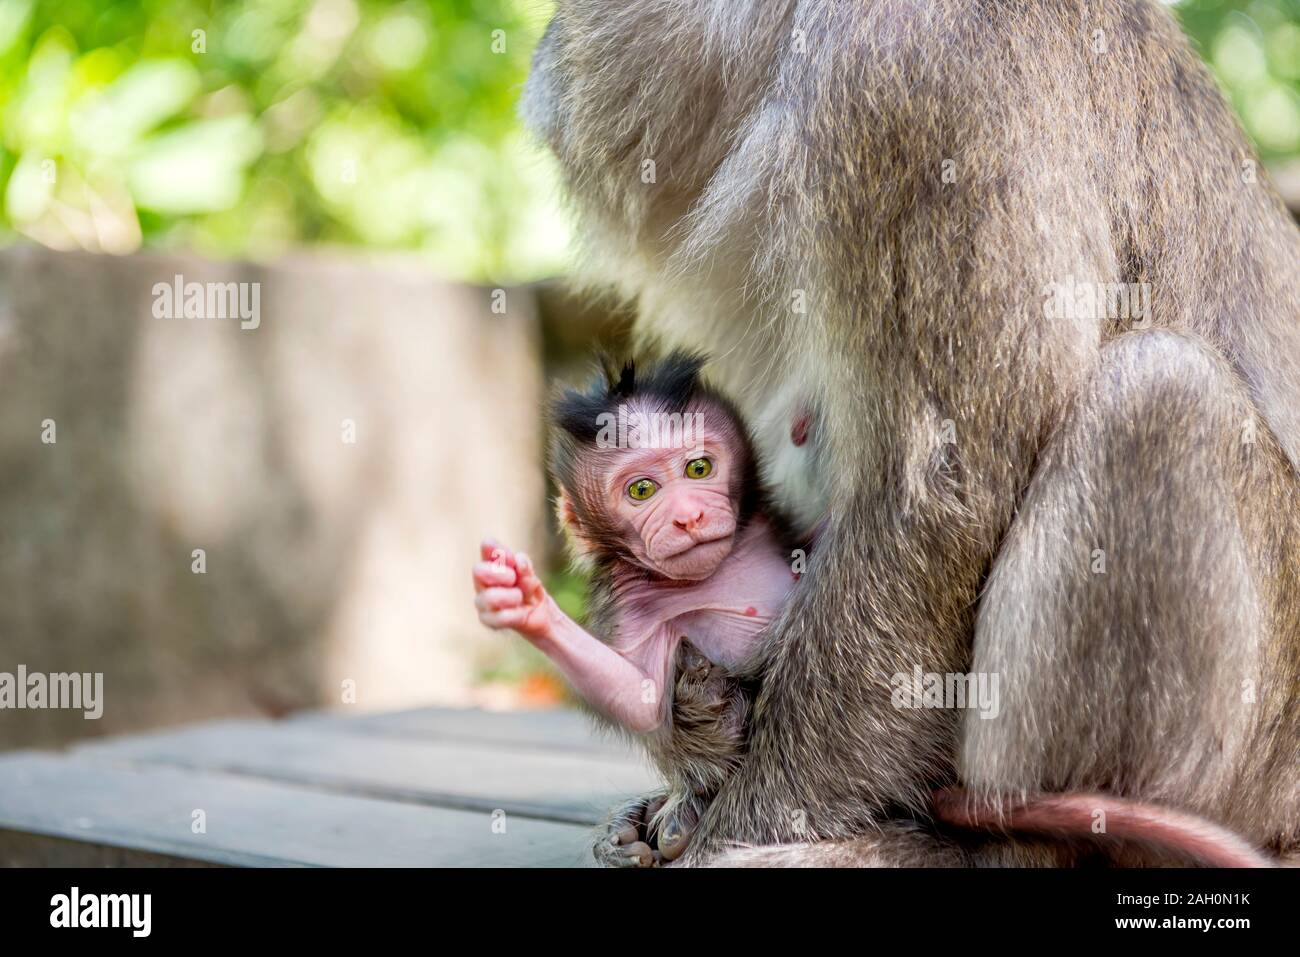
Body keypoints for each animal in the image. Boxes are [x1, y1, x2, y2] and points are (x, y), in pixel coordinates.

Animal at [473, 353, 795, 868]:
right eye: (642, 490)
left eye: (699, 467)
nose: (688, 516)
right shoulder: (630, 603)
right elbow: (639, 698)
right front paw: (528, 606)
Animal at [520, 1, 1300, 868]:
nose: (550, 51)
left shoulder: (906, 81)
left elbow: (936, 492)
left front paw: (754, 819)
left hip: (1251, 774)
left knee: (1158, 392)